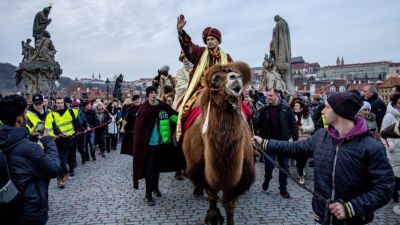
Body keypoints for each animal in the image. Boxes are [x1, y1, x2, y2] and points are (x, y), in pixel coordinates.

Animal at [182, 61, 255, 225]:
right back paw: (197, 191)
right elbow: (212, 195)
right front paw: (213, 217)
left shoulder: (237, 177)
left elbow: (229, 203)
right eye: (215, 79)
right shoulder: (202, 171)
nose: (236, 77)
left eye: (237, 74)